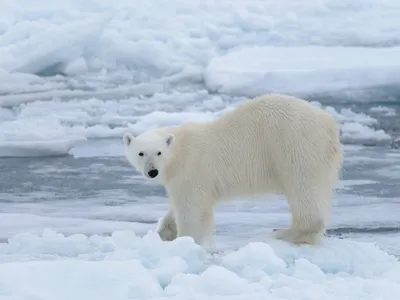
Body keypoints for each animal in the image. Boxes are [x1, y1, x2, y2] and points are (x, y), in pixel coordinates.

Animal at [123, 94, 342, 246]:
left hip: (295, 145)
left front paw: (185, 241)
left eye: (158, 152)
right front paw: (165, 233)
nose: (152, 172)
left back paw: (283, 233)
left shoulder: (192, 168)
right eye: (141, 153)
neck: (179, 151)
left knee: (303, 187)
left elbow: (191, 209)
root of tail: (329, 123)